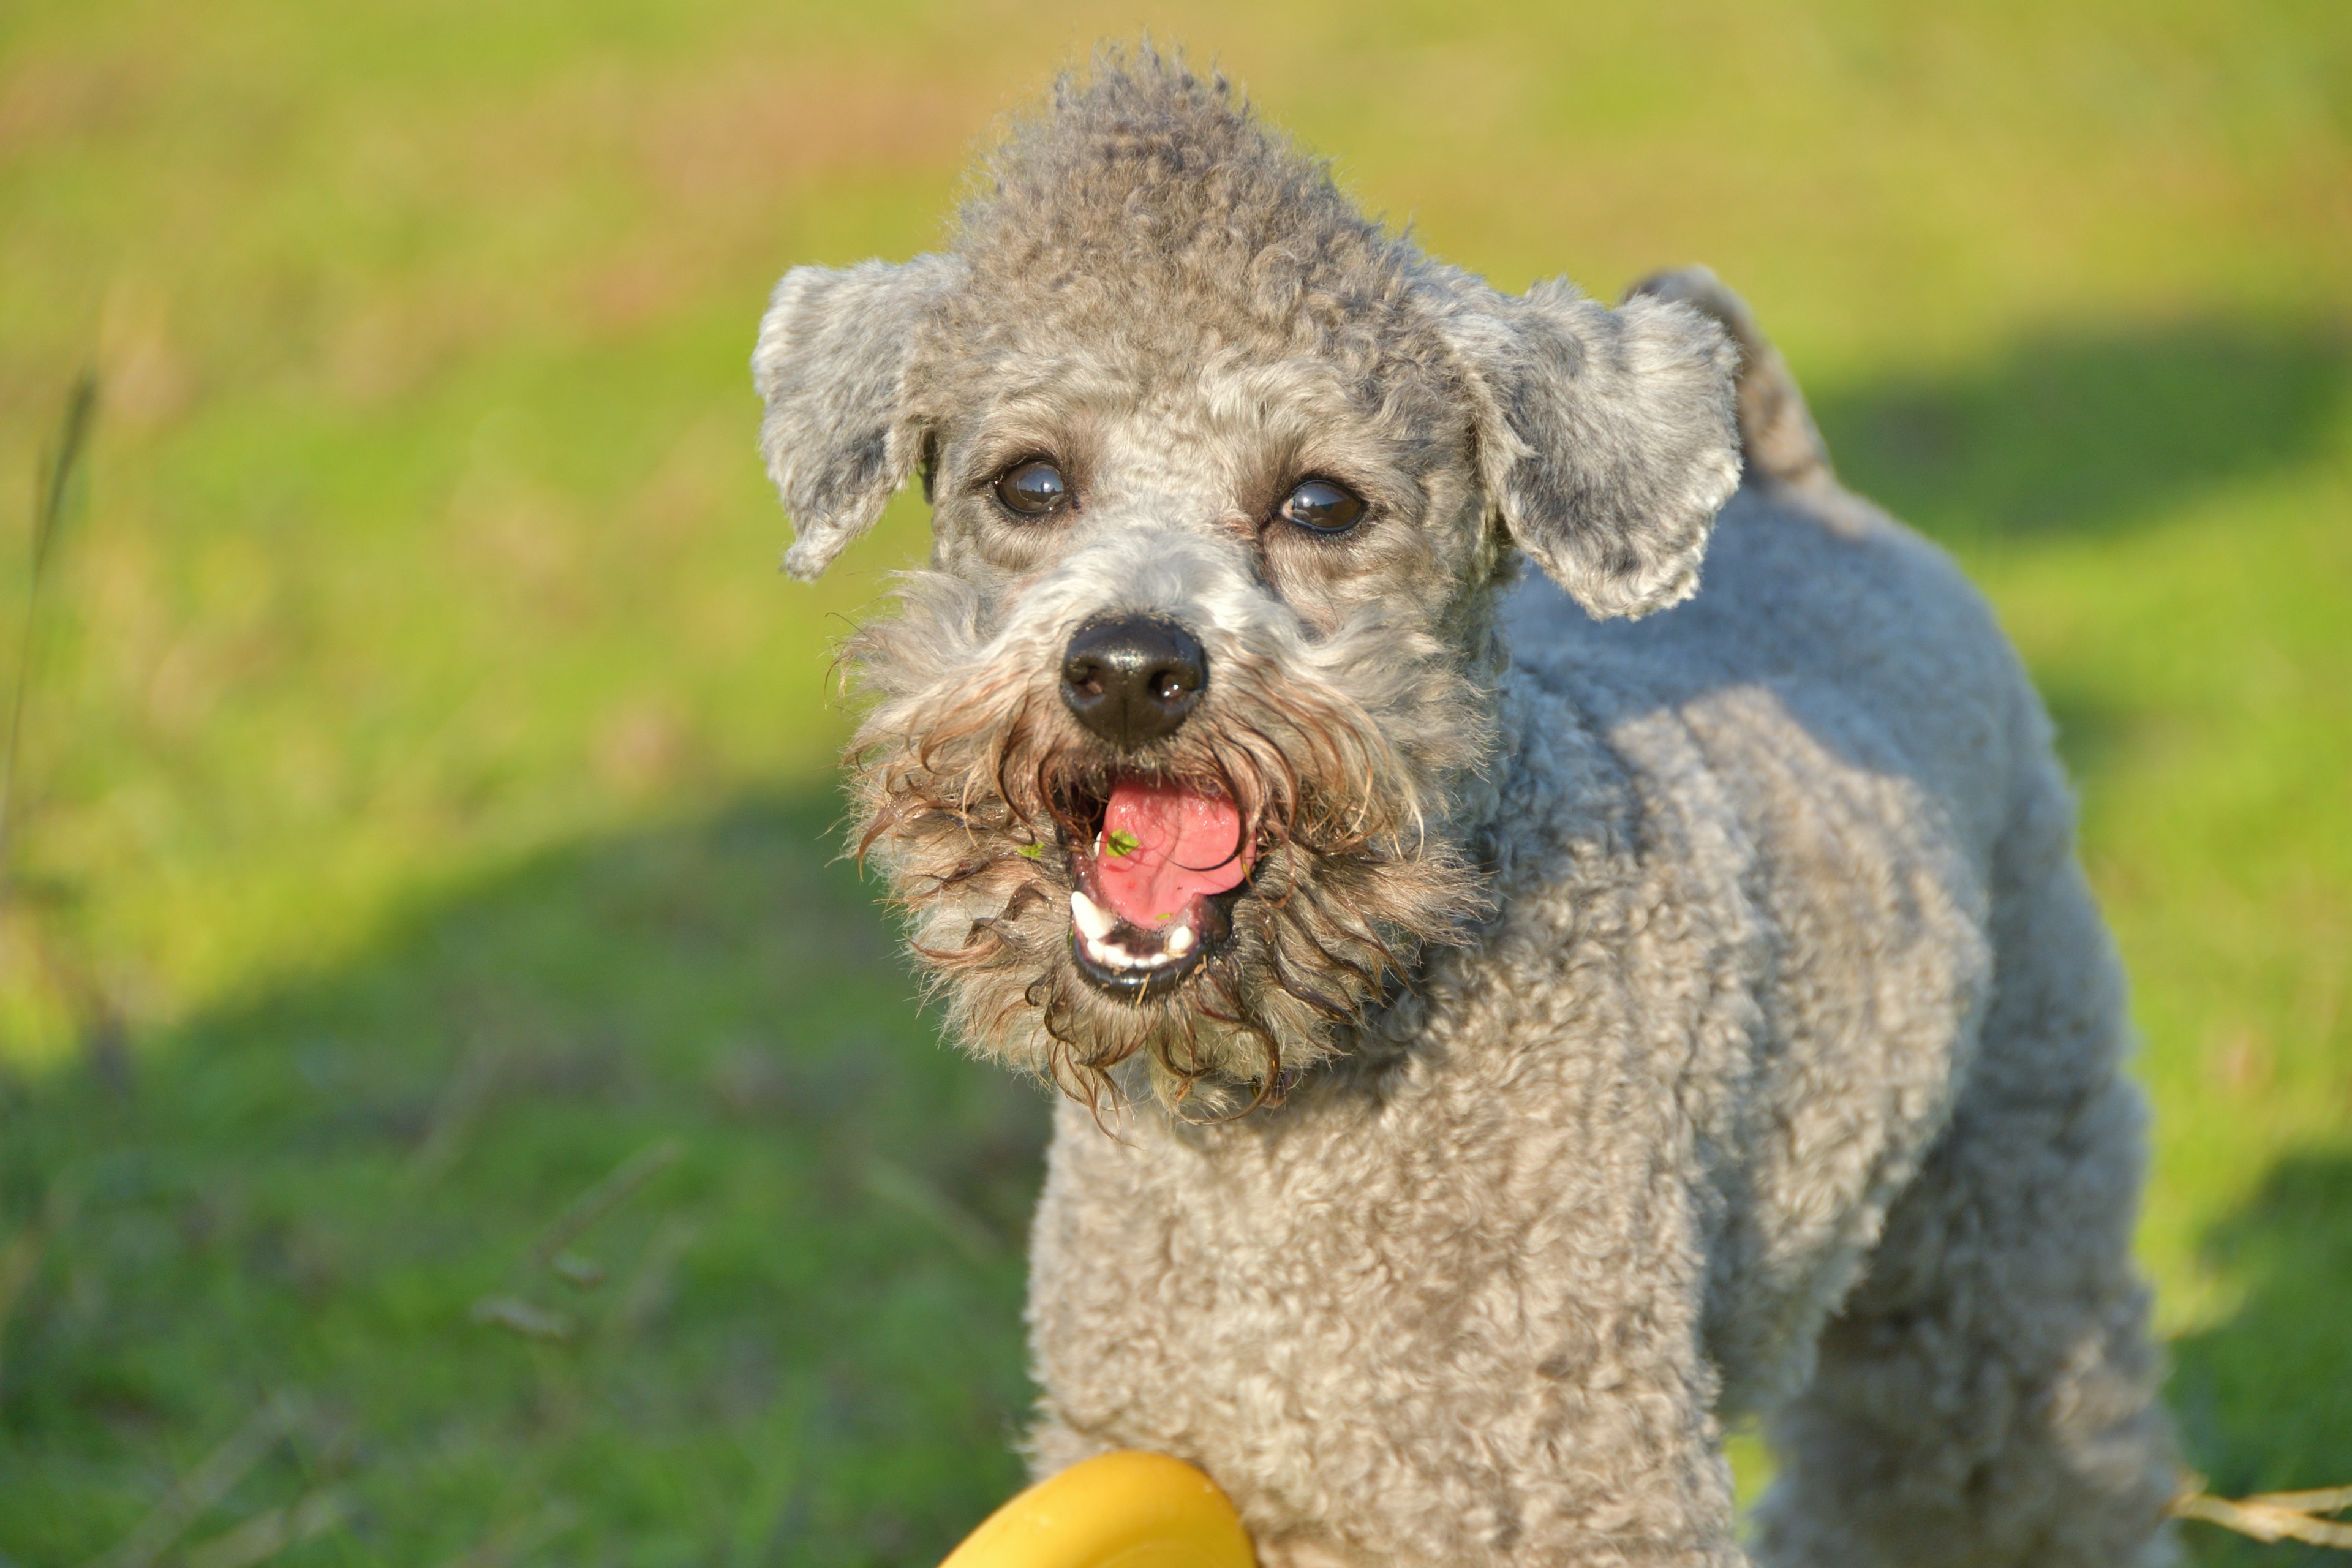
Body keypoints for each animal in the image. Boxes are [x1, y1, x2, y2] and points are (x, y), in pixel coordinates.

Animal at [743, 49, 2173, 1568]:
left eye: (1322, 501)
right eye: (1030, 482)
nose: (1129, 667)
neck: (1279, 1125)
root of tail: (1801, 488)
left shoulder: (1581, 1488)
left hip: (2004, 1200)